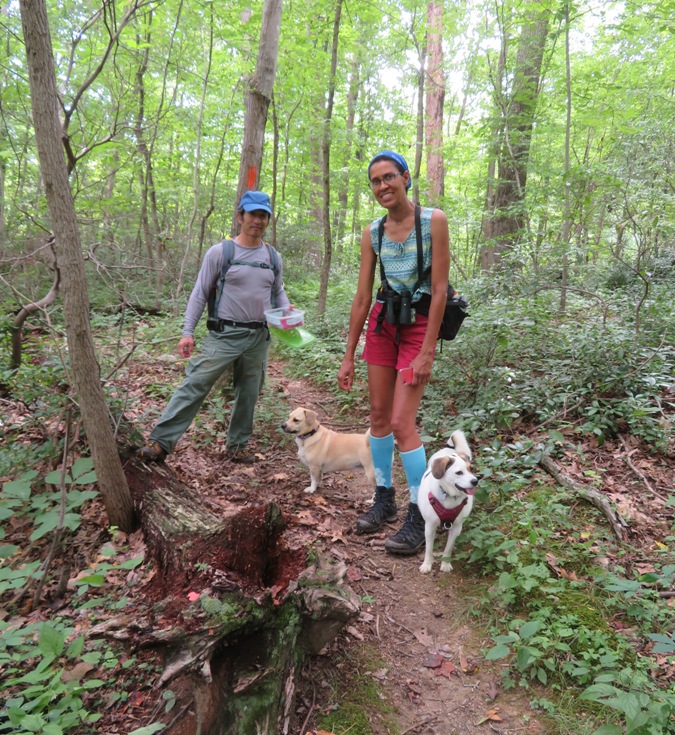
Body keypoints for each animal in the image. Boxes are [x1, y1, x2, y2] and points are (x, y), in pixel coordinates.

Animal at [414, 432, 478, 576]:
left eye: (471, 469)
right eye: (459, 472)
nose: (475, 481)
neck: (449, 496)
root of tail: (449, 449)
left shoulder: (456, 527)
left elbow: (449, 548)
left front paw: (445, 563)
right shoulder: (429, 526)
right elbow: (429, 548)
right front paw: (427, 564)